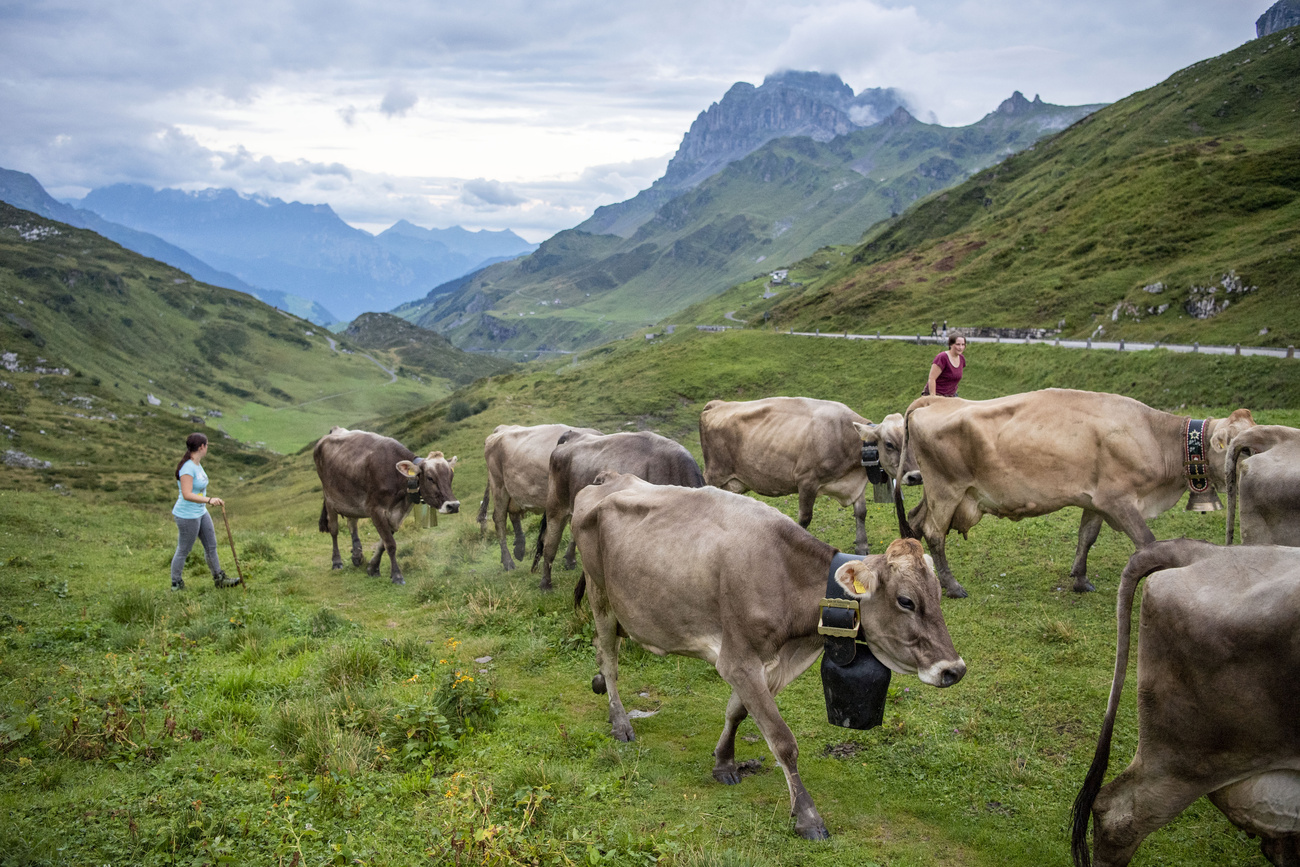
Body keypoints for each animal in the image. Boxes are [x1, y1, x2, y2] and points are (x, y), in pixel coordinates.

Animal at [313, 427, 460, 585]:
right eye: (430, 478)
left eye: (451, 476)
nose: (453, 505)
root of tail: (335, 430)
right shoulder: (376, 510)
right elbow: (390, 544)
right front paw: (396, 575)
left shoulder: (398, 514)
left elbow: (383, 543)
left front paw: (372, 568)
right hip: (330, 499)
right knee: (334, 529)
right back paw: (337, 561)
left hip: (351, 499)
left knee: (352, 523)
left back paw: (357, 555)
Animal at [477, 423, 601, 570]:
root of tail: (502, 428)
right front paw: (571, 559)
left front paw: (571, 559)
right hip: (498, 485)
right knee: (499, 519)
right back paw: (508, 561)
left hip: (515, 487)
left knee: (513, 513)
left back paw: (519, 548)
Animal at [571, 472, 966, 840]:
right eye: (906, 601)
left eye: (937, 595)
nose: (954, 670)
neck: (784, 573)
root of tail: (609, 477)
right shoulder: (738, 661)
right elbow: (782, 741)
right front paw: (807, 816)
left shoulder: (767, 666)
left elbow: (737, 712)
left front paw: (724, 762)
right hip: (600, 596)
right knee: (608, 657)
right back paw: (620, 720)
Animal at [700, 397, 878, 555]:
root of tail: (718, 404)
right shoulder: (807, 480)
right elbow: (804, 518)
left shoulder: (856, 483)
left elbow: (861, 512)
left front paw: (862, 546)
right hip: (714, 474)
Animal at [893, 389, 1255, 597]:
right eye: (1243, 449)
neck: (1154, 436)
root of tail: (935, 400)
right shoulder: (1120, 501)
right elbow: (1148, 542)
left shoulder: (1095, 500)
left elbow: (1086, 537)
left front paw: (1080, 579)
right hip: (947, 489)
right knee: (934, 533)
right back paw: (952, 586)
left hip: (940, 491)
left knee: (915, 520)